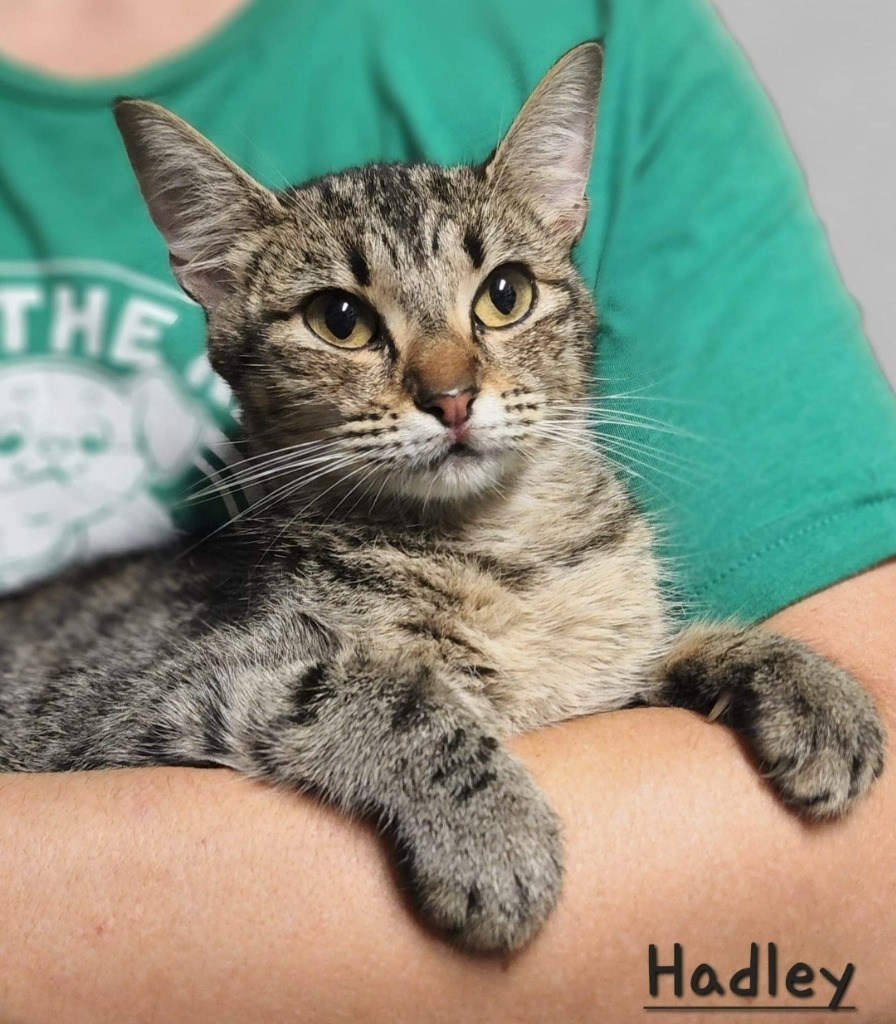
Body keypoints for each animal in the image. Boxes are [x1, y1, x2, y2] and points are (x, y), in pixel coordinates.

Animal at [0, 41, 884, 950]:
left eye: (506, 294)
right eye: (340, 318)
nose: (452, 396)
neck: (505, 553)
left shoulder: (604, 668)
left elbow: (660, 654)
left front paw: (802, 680)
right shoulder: (144, 700)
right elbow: (383, 690)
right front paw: (493, 833)